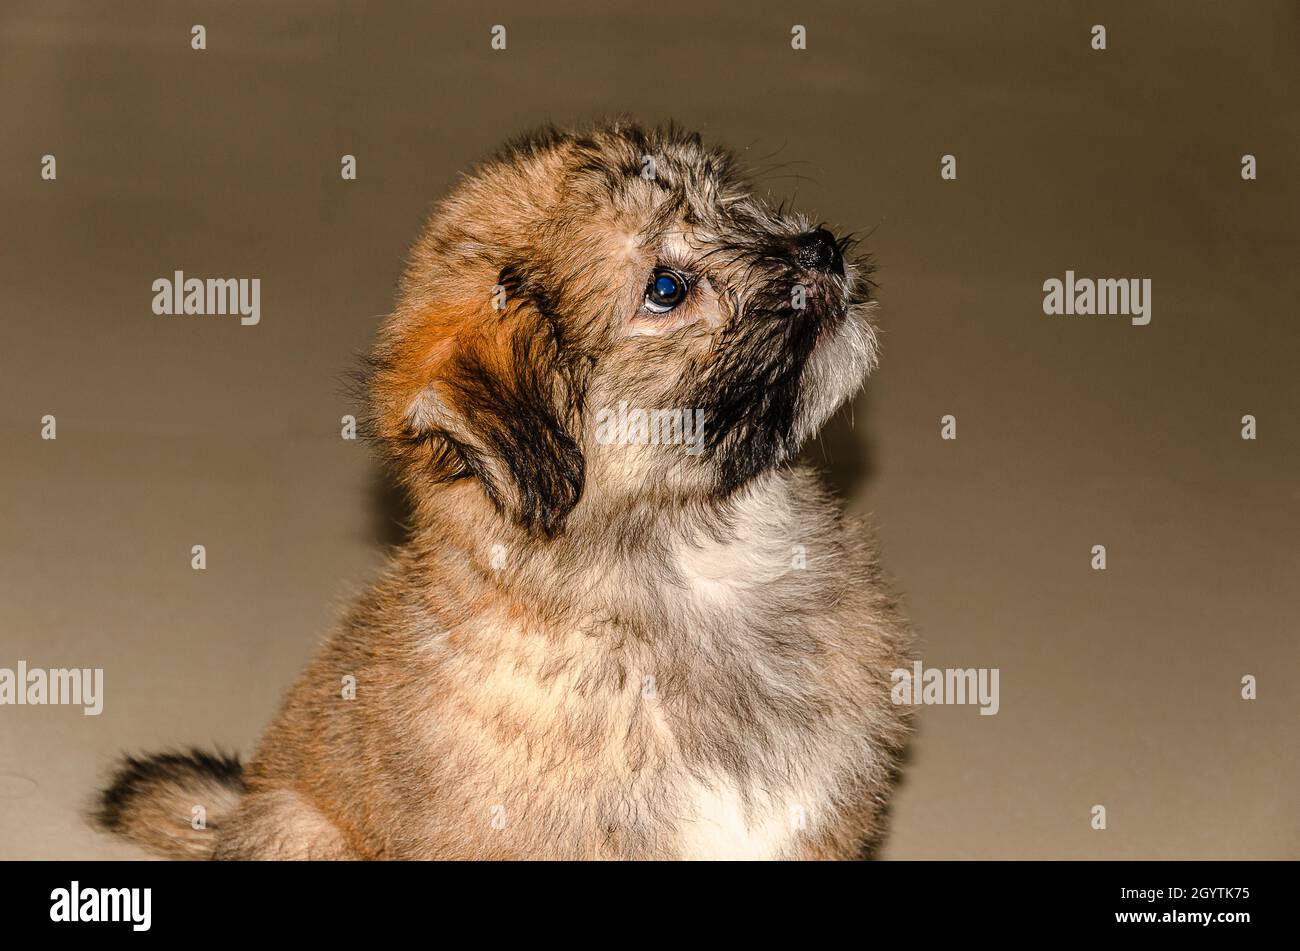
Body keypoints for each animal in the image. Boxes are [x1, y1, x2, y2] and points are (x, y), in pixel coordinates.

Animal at [96, 120, 909, 862]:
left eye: (729, 202)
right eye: (666, 288)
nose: (820, 248)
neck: (689, 571)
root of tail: (234, 814)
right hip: (301, 831)